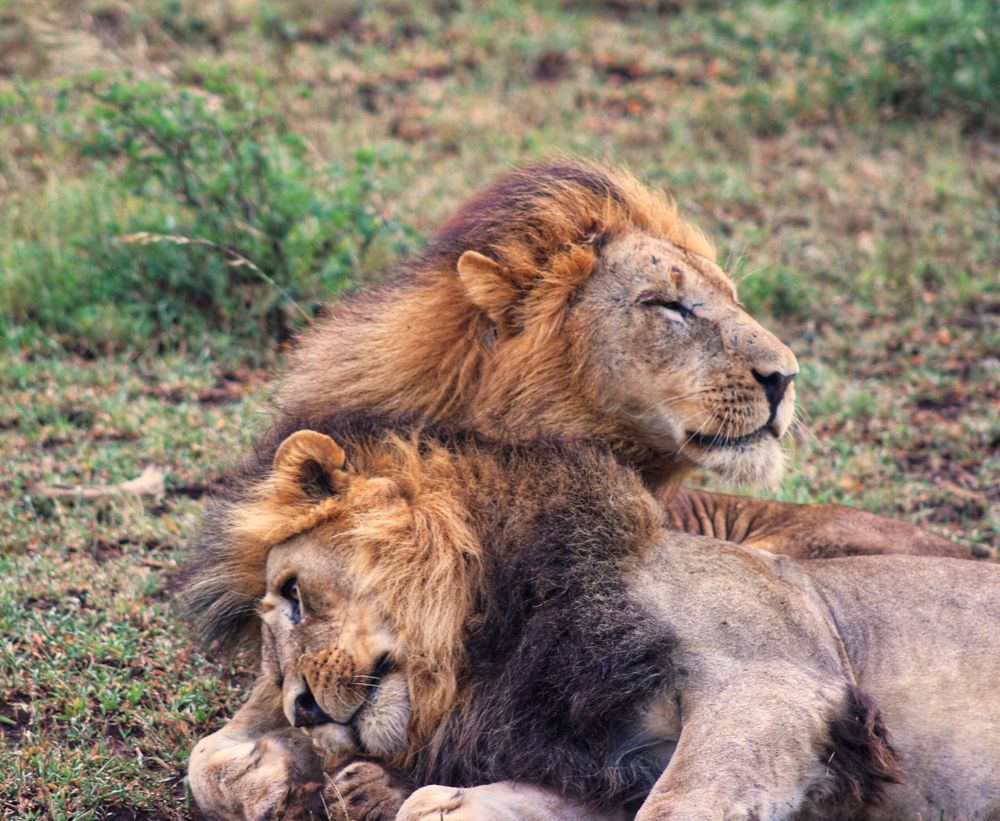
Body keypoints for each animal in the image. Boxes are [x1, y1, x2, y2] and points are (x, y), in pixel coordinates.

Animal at [186, 420, 992, 820]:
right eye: (271, 668)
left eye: (294, 594)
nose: (302, 707)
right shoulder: (614, 752)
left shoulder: (775, 687)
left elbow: (675, 808)